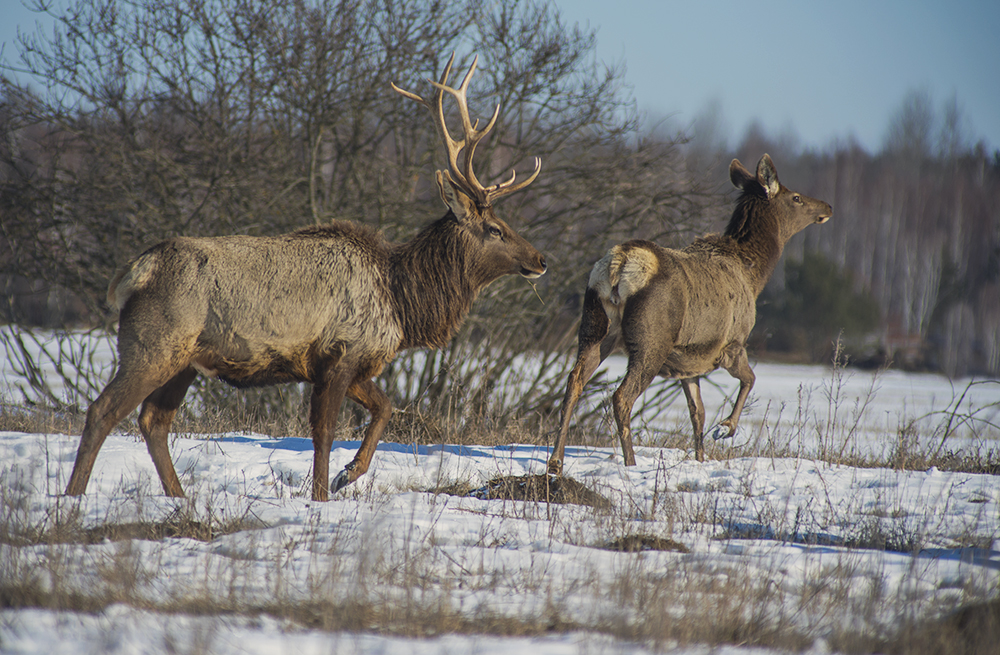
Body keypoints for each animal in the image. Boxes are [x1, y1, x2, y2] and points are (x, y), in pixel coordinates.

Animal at [64, 52, 548, 502]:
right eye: (495, 229)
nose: (541, 259)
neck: (402, 302)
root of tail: (133, 273)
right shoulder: (340, 353)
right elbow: (324, 433)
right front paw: (322, 494)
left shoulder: (351, 362)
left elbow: (386, 408)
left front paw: (347, 475)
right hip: (153, 345)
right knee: (102, 411)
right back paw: (73, 497)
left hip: (184, 361)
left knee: (154, 421)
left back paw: (179, 499)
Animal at [548, 155, 828, 472]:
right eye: (796, 198)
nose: (827, 207)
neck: (754, 276)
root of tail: (619, 264)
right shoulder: (732, 344)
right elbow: (750, 379)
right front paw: (726, 428)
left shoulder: (689, 360)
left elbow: (698, 412)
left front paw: (701, 458)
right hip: (652, 340)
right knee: (621, 395)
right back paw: (631, 463)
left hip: (595, 325)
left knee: (574, 380)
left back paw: (555, 461)